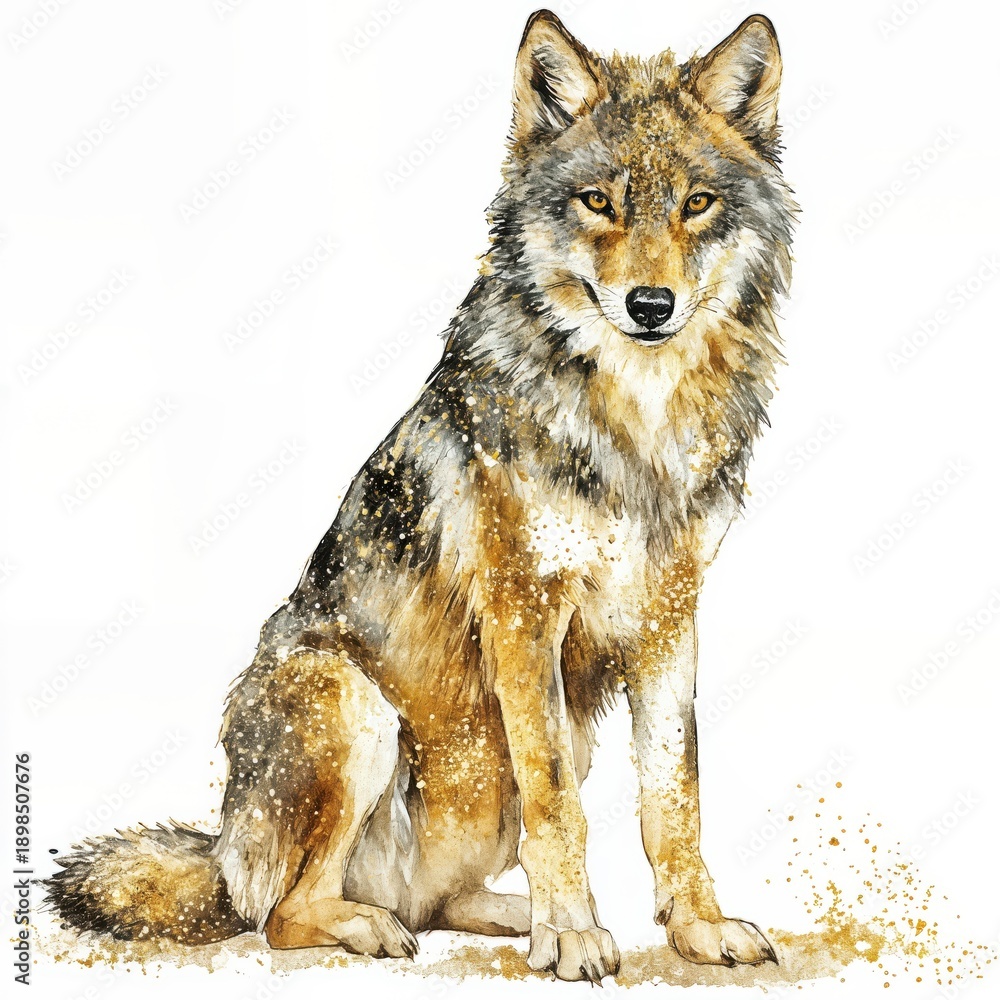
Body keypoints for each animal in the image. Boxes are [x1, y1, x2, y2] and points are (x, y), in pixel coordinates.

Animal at [46, 10, 796, 984]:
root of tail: (223, 850)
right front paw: (574, 937)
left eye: (697, 204)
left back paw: (511, 915)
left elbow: (675, 794)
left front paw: (697, 928)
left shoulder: (670, 614)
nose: (650, 304)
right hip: (350, 703)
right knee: (283, 914)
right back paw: (383, 926)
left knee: (433, 900)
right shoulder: (523, 609)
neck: (638, 423)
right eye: (598, 202)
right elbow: (558, 801)